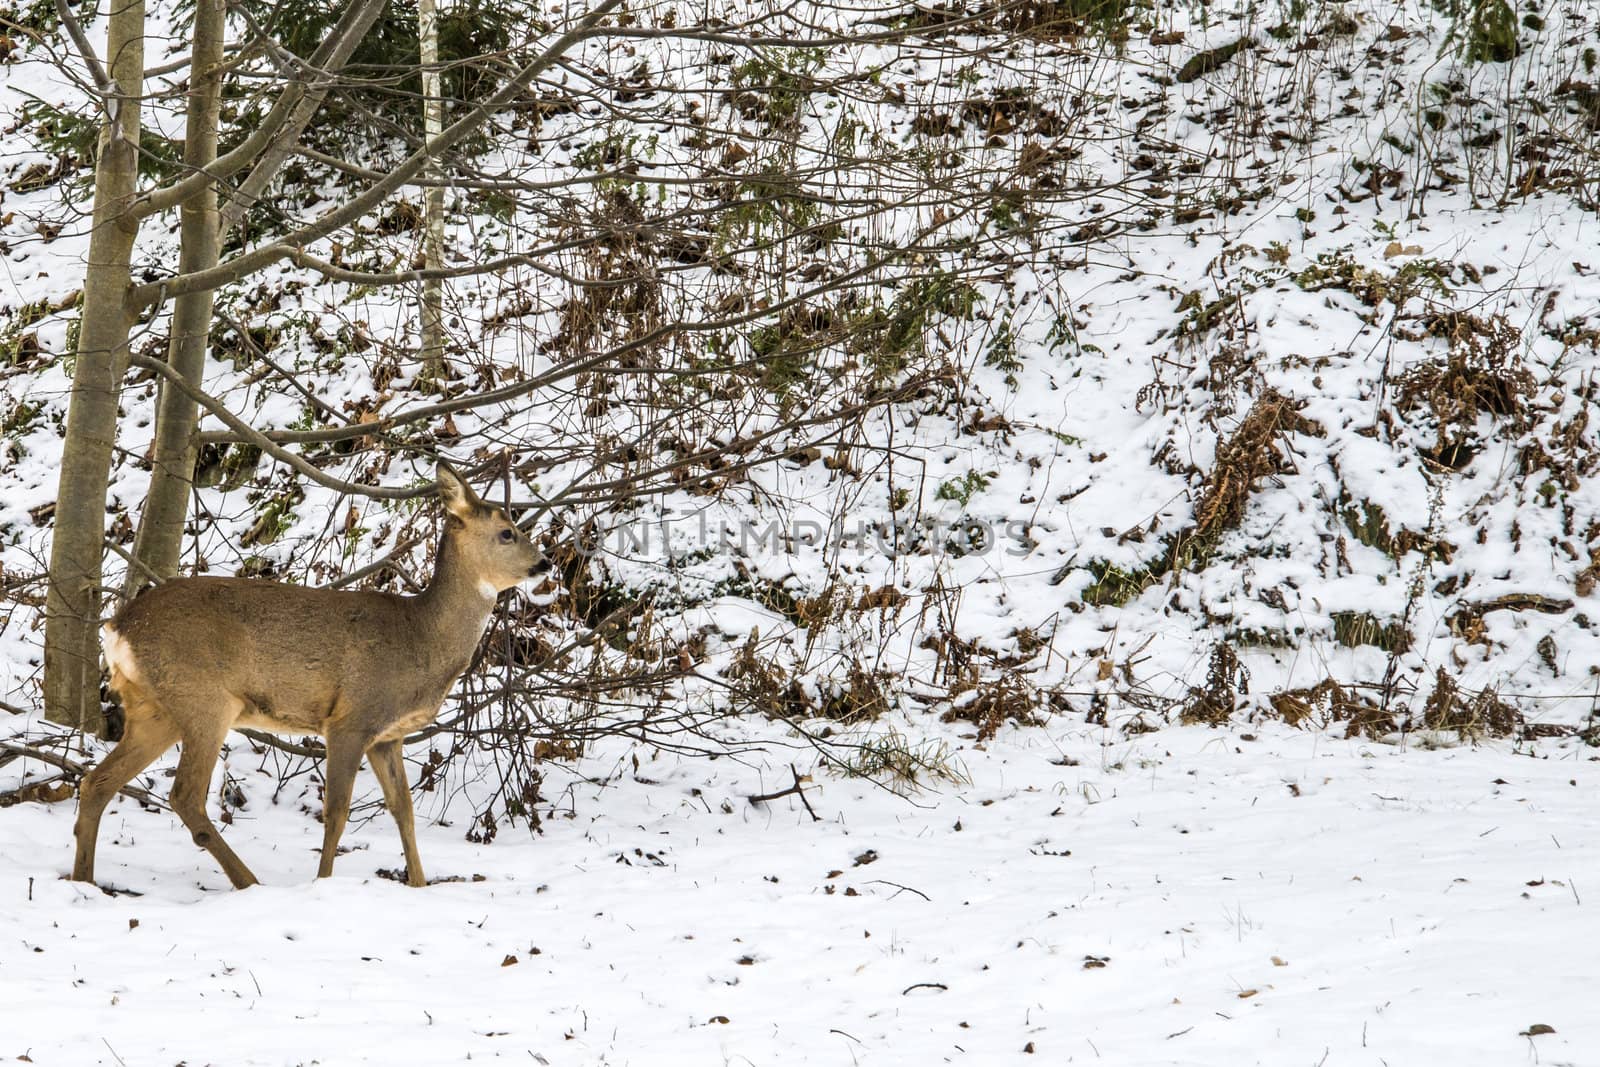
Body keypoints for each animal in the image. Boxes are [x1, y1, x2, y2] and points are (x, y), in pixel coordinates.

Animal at [72, 463, 544, 889]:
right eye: (507, 532)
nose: (542, 563)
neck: (421, 639)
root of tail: (118, 628)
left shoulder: (387, 736)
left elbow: (404, 811)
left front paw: (419, 885)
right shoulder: (350, 718)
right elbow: (336, 812)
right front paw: (323, 883)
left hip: (155, 709)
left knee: (97, 781)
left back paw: (84, 880)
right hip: (205, 700)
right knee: (184, 795)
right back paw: (249, 882)